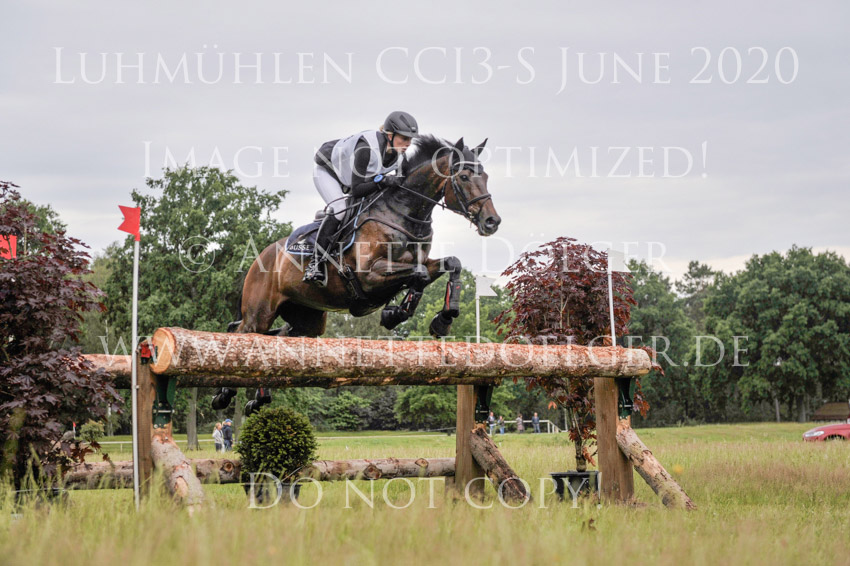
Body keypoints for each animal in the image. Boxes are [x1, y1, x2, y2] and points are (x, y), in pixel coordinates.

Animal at [213, 135, 501, 413]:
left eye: (486, 176)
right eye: (464, 177)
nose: (492, 222)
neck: (403, 214)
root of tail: (259, 257)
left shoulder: (417, 265)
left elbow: (450, 264)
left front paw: (442, 318)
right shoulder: (369, 276)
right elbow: (418, 275)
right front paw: (397, 313)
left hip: (308, 320)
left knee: (278, 339)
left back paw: (259, 398)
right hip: (260, 312)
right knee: (242, 333)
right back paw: (223, 394)